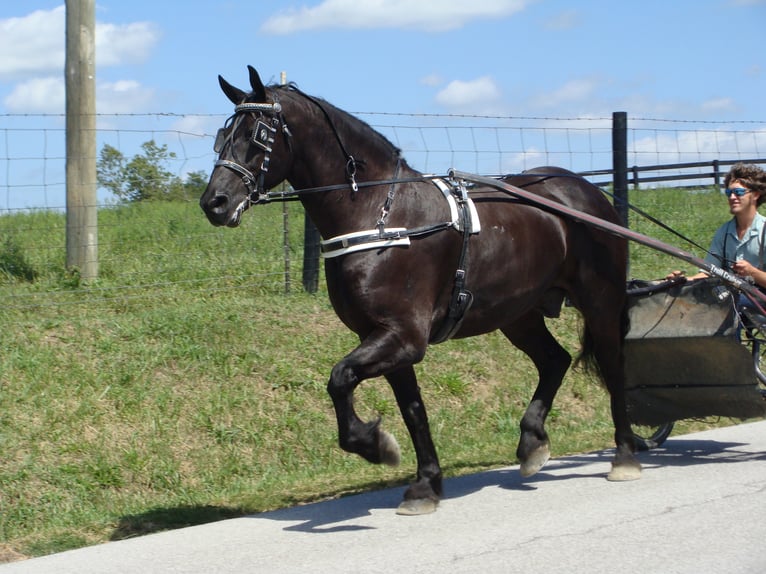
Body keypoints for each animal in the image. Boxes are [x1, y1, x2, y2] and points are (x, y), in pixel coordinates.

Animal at [200, 67, 640, 516]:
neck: (381, 216)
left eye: (257, 134)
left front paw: (375, 444)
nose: (214, 202)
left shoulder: (404, 336)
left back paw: (624, 455)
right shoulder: (382, 338)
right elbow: (413, 410)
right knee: (555, 360)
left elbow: (339, 379)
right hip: (519, 314)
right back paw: (532, 442)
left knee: (614, 363)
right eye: (223, 135)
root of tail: (585, 191)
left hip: (599, 299)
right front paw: (425, 483)